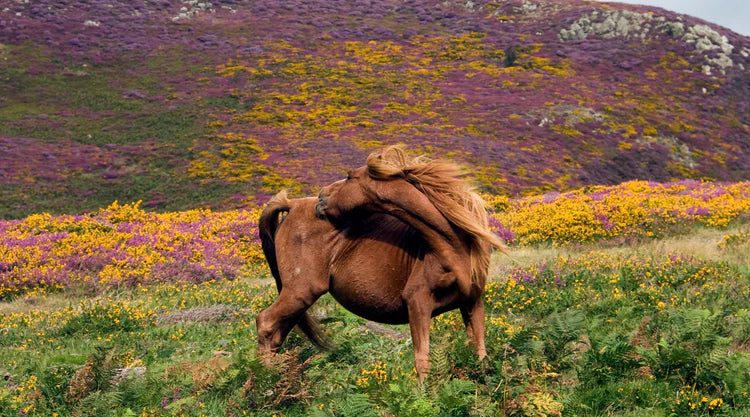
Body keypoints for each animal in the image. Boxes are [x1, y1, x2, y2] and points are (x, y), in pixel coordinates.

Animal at [256, 146, 507, 381]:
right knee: (266, 324)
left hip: (299, 299)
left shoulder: (472, 302)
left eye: (349, 176)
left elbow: (480, 353)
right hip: (299, 292)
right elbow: (422, 361)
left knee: (276, 334)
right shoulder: (418, 303)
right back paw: (264, 383)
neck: (453, 247)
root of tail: (292, 204)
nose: (321, 196)